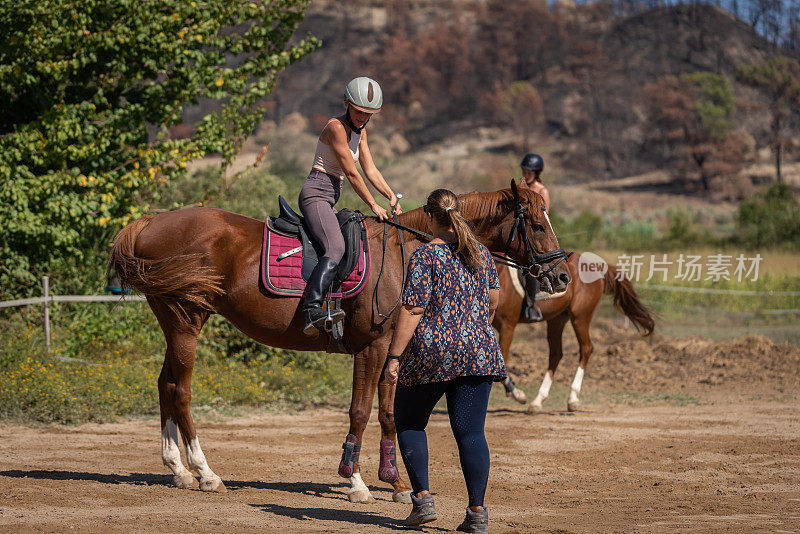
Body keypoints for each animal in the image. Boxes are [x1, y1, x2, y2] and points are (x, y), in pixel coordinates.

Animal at [108, 182, 568, 504]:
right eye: (538, 225)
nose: (561, 276)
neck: (406, 253)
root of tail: (150, 222)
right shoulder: (372, 347)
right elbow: (361, 412)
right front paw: (357, 483)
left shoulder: (392, 350)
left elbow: (387, 413)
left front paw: (396, 483)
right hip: (186, 319)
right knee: (181, 391)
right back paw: (205, 473)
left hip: (175, 322)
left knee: (165, 384)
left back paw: (178, 470)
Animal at [490, 255, 652, 414]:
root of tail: (594, 265)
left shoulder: (507, 326)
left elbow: (502, 359)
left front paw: (517, 394)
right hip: (557, 319)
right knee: (556, 354)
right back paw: (538, 401)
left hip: (580, 317)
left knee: (586, 348)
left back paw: (572, 399)